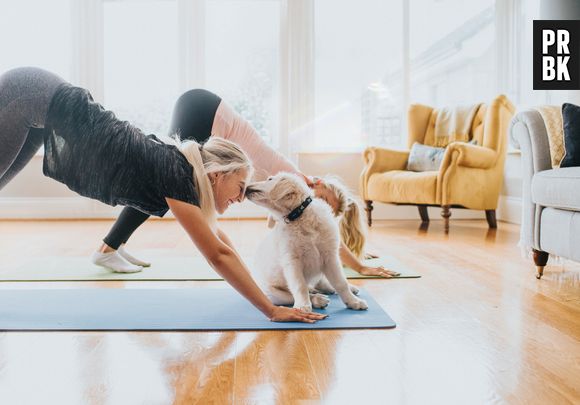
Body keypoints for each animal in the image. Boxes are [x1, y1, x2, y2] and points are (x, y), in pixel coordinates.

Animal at [245, 172, 368, 310]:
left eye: (269, 179)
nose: (246, 188)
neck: (298, 215)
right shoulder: (292, 260)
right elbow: (300, 286)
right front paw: (302, 306)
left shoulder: (330, 256)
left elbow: (341, 282)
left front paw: (353, 302)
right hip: (271, 294)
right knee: (296, 293)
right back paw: (317, 299)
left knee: (322, 282)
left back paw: (344, 289)